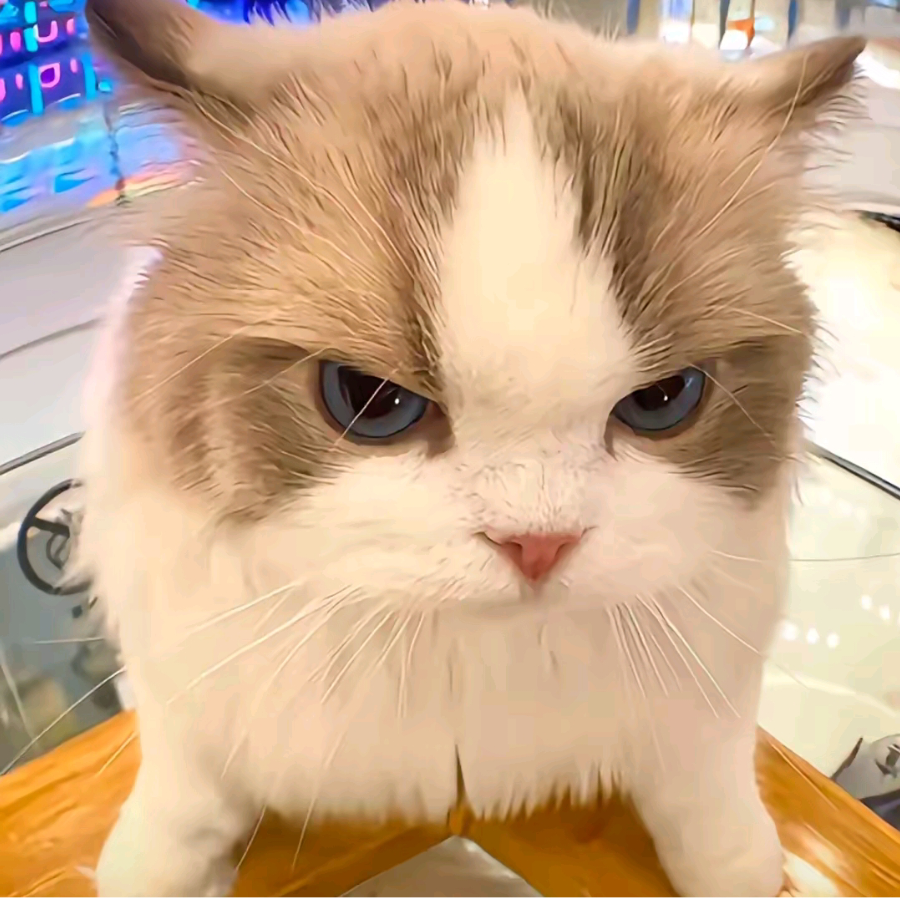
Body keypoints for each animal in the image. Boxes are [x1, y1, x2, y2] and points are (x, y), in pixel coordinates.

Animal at [76, 0, 865, 896]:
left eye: (664, 400)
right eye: (369, 400)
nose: (538, 545)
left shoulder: (714, 686)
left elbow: (714, 798)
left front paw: (747, 867)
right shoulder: (184, 685)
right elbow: (181, 793)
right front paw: (148, 864)